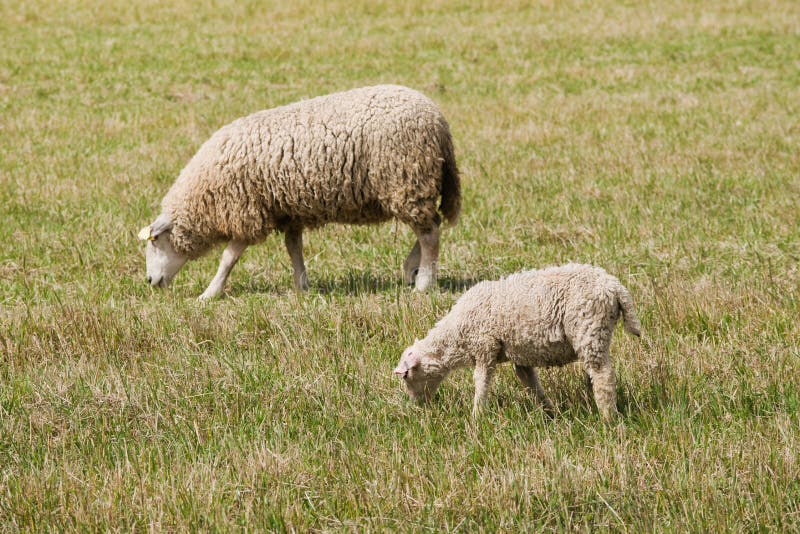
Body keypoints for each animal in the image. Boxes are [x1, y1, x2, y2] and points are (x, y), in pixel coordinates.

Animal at [137, 84, 461, 299]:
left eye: (156, 242)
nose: (150, 280)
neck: (206, 194)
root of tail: (439, 120)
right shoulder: (286, 210)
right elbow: (294, 247)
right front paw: (302, 286)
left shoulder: (248, 210)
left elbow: (229, 257)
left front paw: (210, 293)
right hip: (413, 186)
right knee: (431, 225)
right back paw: (412, 269)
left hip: (406, 180)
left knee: (429, 234)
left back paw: (425, 282)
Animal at [393, 263, 642, 420]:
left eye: (406, 377)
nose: (418, 406)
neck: (456, 335)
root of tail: (614, 287)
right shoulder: (520, 355)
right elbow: (530, 383)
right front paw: (548, 411)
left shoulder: (485, 347)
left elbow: (481, 382)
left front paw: (476, 416)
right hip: (593, 336)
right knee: (594, 374)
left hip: (589, 329)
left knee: (603, 375)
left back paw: (608, 418)